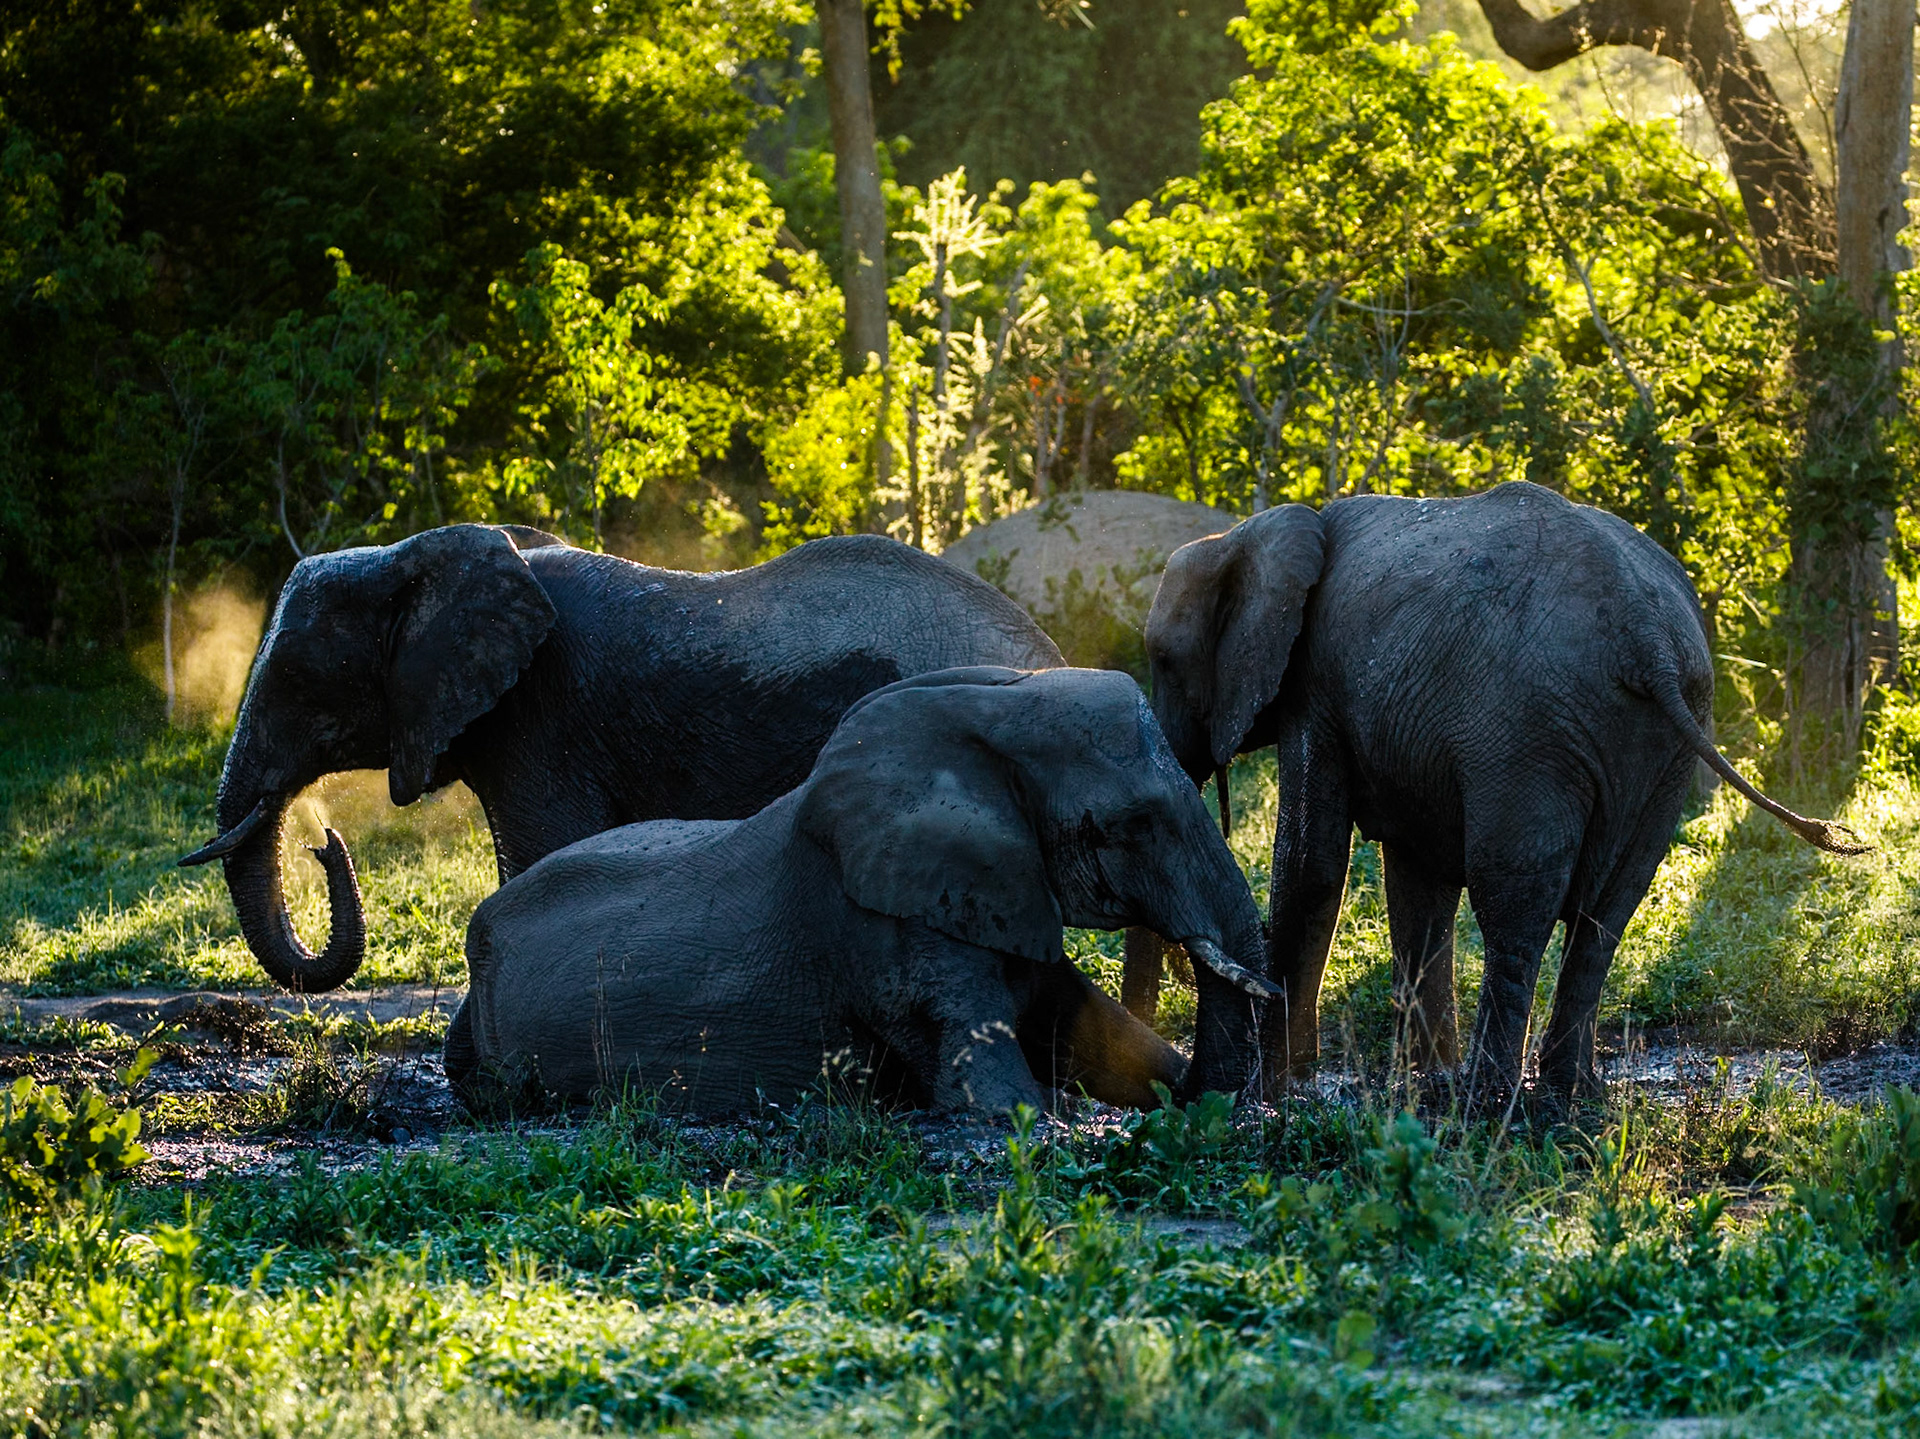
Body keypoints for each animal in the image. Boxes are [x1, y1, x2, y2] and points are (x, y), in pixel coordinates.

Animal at [1142, 480, 1865, 1102]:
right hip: (1666, 742)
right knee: (1606, 915)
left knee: (1515, 905)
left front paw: (1267, 1099)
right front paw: (1419, 1085)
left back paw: (1487, 1102)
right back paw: (1568, 1094)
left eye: (1161, 660)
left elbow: (1310, 868)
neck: (1247, 535)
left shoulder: (1315, 689)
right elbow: (1418, 887)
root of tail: (1648, 638)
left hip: (1528, 734)